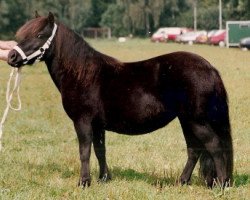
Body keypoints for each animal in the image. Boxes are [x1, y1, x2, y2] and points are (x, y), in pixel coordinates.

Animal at [8, 13, 233, 188]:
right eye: (21, 35)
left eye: (39, 35)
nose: (11, 57)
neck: (83, 74)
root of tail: (209, 68)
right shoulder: (97, 125)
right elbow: (100, 151)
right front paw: (103, 178)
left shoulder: (83, 121)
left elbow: (84, 151)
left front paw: (84, 182)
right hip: (187, 120)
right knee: (194, 150)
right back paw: (182, 182)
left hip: (197, 121)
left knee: (213, 145)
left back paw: (221, 184)